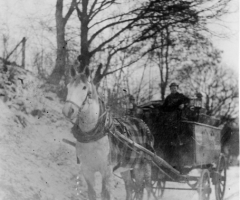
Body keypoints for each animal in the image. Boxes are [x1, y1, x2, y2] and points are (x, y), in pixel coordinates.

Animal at [62, 64, 154, 200]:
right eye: (68, 87)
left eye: (84, 87)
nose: (68, 111)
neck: (93, 135)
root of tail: (142, 123)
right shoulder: (87, 170)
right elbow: (92, 194)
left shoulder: (107, 171)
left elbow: (106, 195)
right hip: (125, 169)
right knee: (130, 187)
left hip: (142, 167)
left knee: (143, 189)